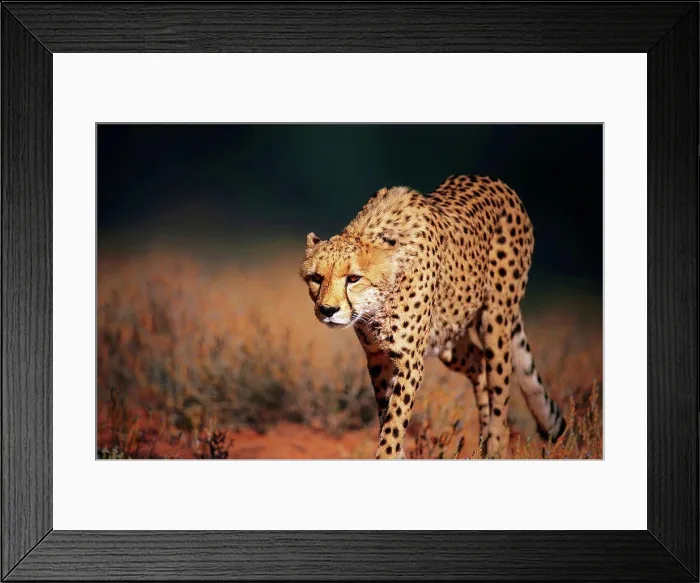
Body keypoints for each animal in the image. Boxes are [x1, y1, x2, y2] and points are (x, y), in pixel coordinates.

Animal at [300, 174, 566, 459]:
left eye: (353, 278)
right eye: (316, 278)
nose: (328, 310)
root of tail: (495, 181)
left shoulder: (409, 360)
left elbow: (394, 422)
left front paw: (388, 454)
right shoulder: (377, 356)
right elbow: (385, 414)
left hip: (495, 321)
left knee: (499, 389)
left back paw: (495, 446)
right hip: (447, 338)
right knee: (478, 360)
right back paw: (482, 441)